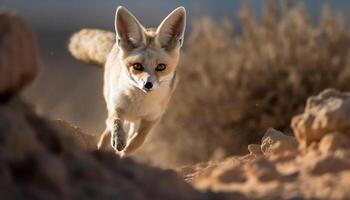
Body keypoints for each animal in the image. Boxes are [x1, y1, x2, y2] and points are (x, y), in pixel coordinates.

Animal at [94, 5, 185, 156]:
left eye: (161, 67)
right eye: (137, 66)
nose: (148, 84)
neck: (138, 105)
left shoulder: (153, 117)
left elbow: (138, 140)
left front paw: (125, 152)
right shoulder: (116, 106)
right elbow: (116, 123)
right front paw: (119, 139)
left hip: (137, 121)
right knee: (106, 132)